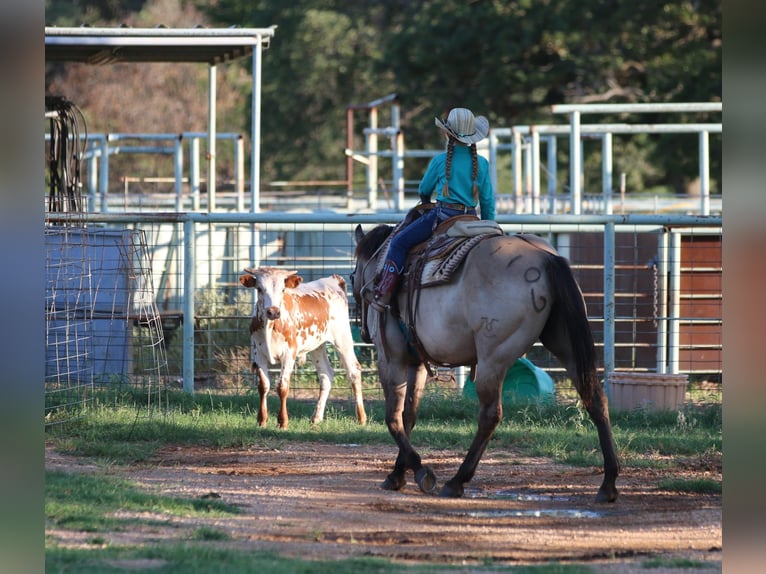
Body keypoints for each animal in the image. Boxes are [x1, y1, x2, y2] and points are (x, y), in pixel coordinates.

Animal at [351, 221, 619, 502]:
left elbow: (393, 418)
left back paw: (457, 481)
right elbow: (408, 416)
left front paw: (418, 472)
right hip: (566, 343)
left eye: (352, 276)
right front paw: (398, 473)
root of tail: (546, 258)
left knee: (490, 414)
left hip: (493, 358)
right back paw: (608, 484)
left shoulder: (391, 359)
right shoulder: (416, 364)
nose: (364, 332)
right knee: (595, 399)